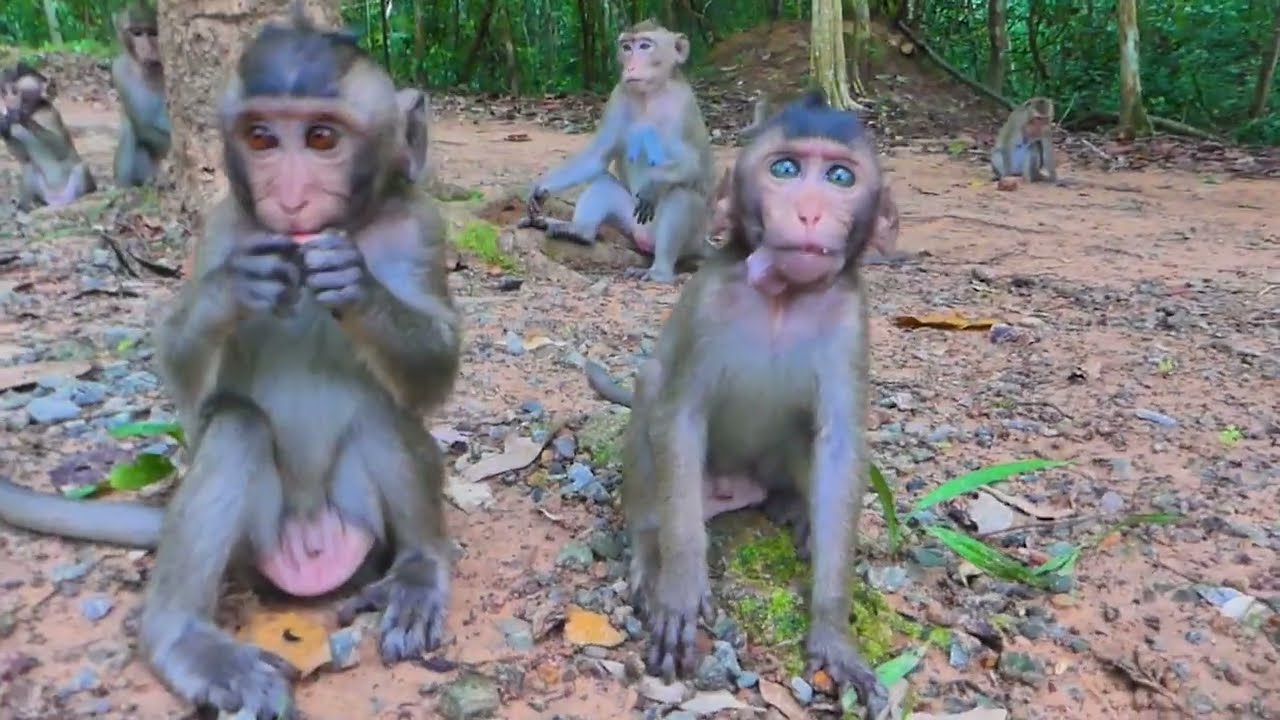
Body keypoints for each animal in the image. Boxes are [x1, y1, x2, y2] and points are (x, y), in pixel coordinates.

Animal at [0, 63, 97, 209]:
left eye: (15, 92)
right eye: (5, 92)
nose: (8, 101)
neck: (34, 111)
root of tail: (57, 201)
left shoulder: (49, 114)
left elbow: (62, 150)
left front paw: (23, 117)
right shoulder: (14, 127)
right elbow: (24, 157)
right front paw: (3, 127)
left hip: (73, 191)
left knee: (80, 167)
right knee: (29, 168)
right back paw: (24, 207)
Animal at [519, 19, 714, 283]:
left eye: (645, 46)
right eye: (626, 47)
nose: (630, 67)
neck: (650, 94)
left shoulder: (680, 106)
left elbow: (693, 164)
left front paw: (653, 183)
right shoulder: (618, 94)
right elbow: (597, 157)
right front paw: (540, 188)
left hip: (690, 239)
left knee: (682, 193)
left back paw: (660, 272)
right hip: (631, 222)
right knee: (604, 183)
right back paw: (578, 232)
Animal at [613, 90, 892, 719]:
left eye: (840, 177)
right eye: (784, 169)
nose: (810, 212)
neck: (782, 298)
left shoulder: (851, 319)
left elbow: (839, 444)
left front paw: (833, 632)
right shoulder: (708, 303)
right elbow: (679, 417)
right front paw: (681, 586)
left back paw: (795, 508)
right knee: (650, 383)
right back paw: (649, 549)